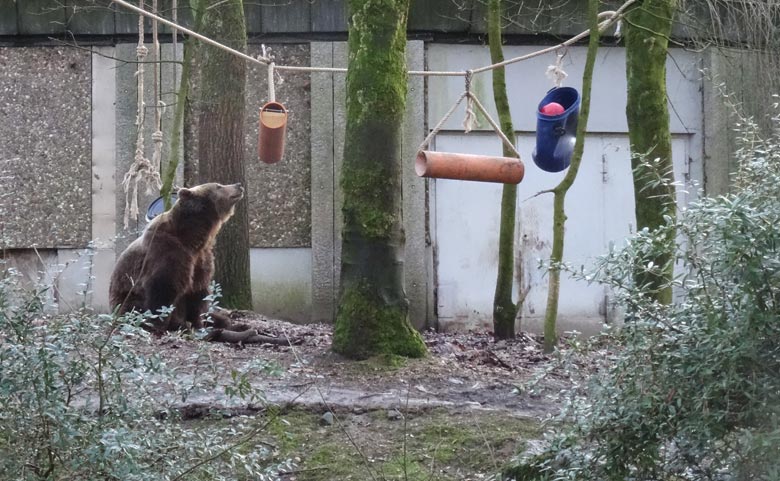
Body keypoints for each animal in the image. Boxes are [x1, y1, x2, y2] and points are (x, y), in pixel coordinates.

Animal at [109, 182, 244, 332]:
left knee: (215, 316)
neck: (193, 238)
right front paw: (158, 323)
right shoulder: (167, 250)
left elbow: (197, 292)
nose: (238, 184)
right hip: (126, 299)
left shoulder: (201, 257)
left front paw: (197, 323)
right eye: (218, 186)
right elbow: (163, 286)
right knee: (133, 307)